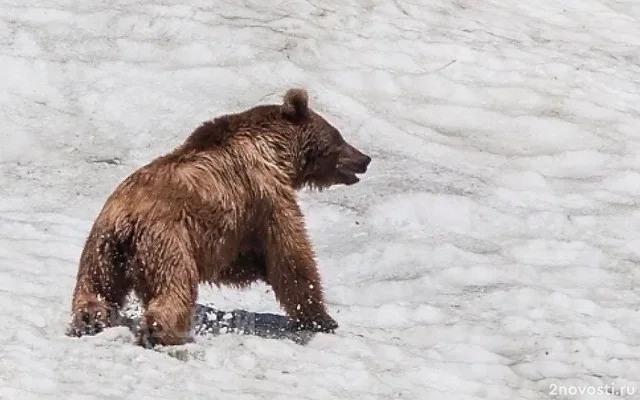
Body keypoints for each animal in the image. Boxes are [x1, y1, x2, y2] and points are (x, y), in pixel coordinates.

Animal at [66, 87, 370, 346]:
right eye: (339, 137)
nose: (364, 158)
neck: (278, 154)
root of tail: (126, 220)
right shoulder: (266, 196)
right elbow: (291, 257)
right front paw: (321, 318)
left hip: (102, 247)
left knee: (96, 288)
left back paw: (89, 320)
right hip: (167, 241)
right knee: (175, 285)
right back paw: (160, 331)